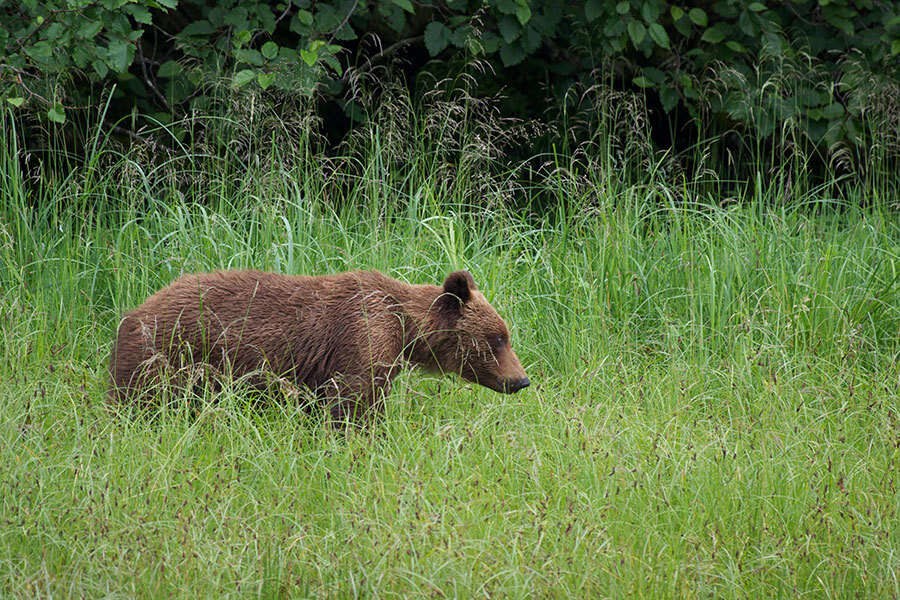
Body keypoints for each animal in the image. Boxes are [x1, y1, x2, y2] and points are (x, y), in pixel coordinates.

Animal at [107, 270, 528, 424]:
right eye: (498, 338)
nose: (521, 380)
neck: (405, 328)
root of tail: (131, 313)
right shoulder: (363, 338)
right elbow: (353, 404)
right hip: (168, 356)